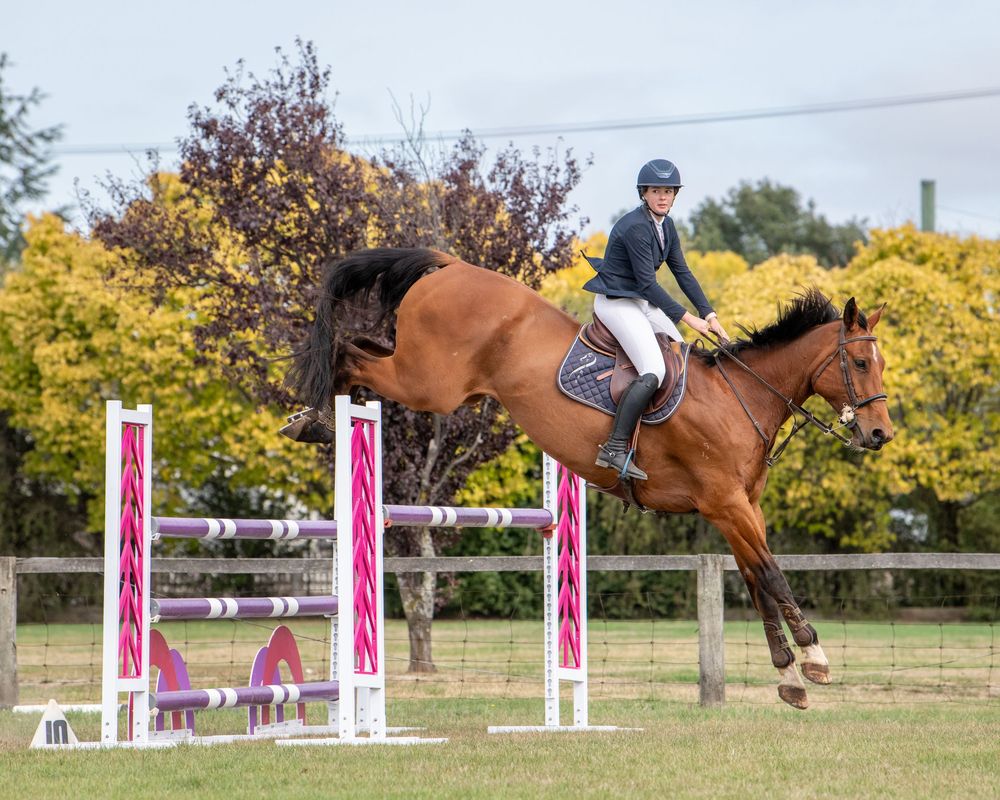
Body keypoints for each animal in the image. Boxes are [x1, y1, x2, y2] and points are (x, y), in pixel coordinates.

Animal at [286, 247, 894, 708]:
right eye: (862, 364)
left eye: (882, 364)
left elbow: (756, 580)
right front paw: (814, 660)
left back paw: (320, 415)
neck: (739, 397)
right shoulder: (726, 504)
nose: (880, 435)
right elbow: (771, 575)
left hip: (422, 372)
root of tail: (450, 264)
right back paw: (316, 416)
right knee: (349, 351)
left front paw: (789, 677)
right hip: (428, 380)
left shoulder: (740, 510)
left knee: (362, 351)